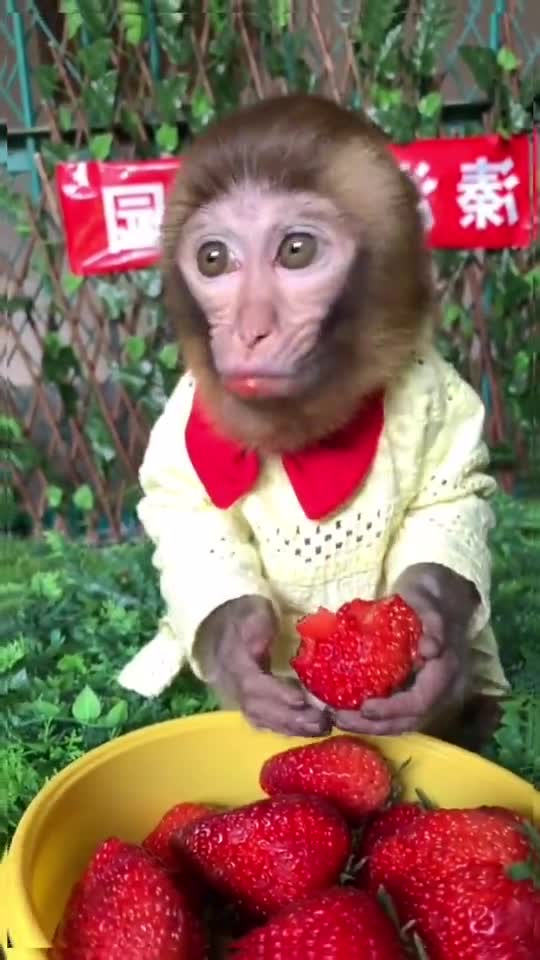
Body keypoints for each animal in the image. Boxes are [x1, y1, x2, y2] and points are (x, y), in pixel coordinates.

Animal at [118, 94, 509, 747]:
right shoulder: (181, 422)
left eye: (296, 251)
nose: (250, 328)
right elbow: (184, 522)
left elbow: (457, 497)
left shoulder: (434, 384)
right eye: (213, 259)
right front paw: (238, 645)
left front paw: (434, 628)